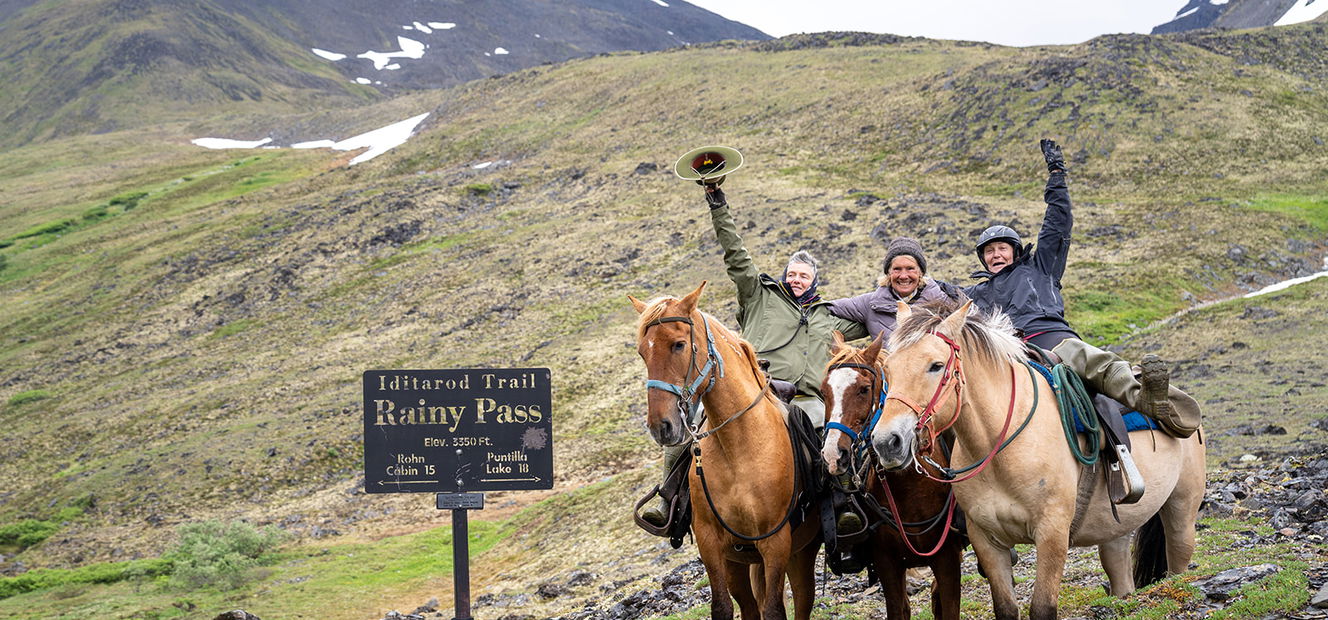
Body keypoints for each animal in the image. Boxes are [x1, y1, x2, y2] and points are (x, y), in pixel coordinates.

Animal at [629, 281, 821, 620]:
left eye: (679, 345)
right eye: (643, 352)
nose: (660, 426)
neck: (738, 449)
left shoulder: (776, 543)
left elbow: (774, 609)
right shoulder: (712, 544)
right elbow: (722, 606)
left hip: (800, 553)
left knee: (802, 600)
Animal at [820, 331, 966, 620]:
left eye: (864, 389)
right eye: (823, 391)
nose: (833, 455)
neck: (909, 485)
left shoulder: (947, 559)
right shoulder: (886, 563)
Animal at [869, 299, 1206, 620]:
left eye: (936, 365)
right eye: (889, 370)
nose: (887, 442)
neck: (999, 449)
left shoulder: (1052, 534)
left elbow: (1043, 608)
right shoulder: (987, 542)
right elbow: (1006, 609)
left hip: (1181, 511)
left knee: (1178, 561)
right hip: (1116, 532)